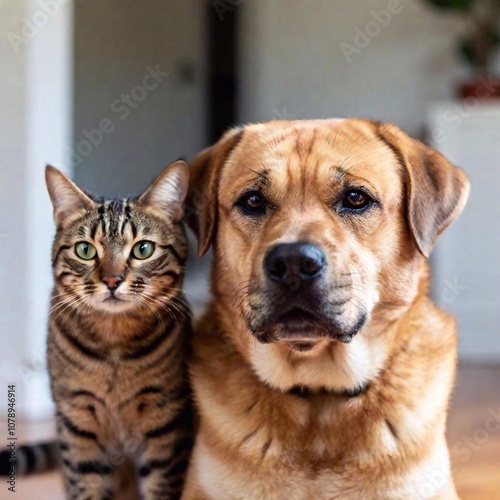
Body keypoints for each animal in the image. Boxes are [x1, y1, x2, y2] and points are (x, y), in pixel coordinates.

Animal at [44, 162, 191, 498]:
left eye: (143, 249)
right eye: (85, 250)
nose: (112, 280)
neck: (114, 341)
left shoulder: (165, 421)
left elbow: (160, 485)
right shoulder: (76, 420)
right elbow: (86, 486)